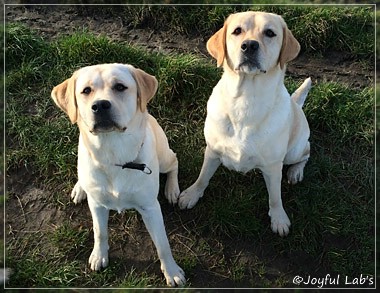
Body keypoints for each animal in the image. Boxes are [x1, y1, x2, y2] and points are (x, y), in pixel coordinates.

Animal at [50, 62, 186, 284]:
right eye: (86, 91)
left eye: (120, 87)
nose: (100, 105)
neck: (113, 154)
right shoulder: (97, 204)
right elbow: (100, 232)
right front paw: (99, 255)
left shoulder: (150, 207)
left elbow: (163, 244)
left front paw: (172, 271)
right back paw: (80, 188)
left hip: (164, 157)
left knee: (174, 161)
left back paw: (172, 190)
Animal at [178, 10, 312, 237]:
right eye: (237, 31)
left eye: (270, 33)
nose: (249, 45)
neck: (245, 101)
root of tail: (296, 104)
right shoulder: (212, 151)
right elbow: (203, 177)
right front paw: (191, 194)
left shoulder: (273, 166)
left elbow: (275, 197)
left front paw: (279, 218)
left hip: (293, 151)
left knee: (306, 152)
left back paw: (296, 172)